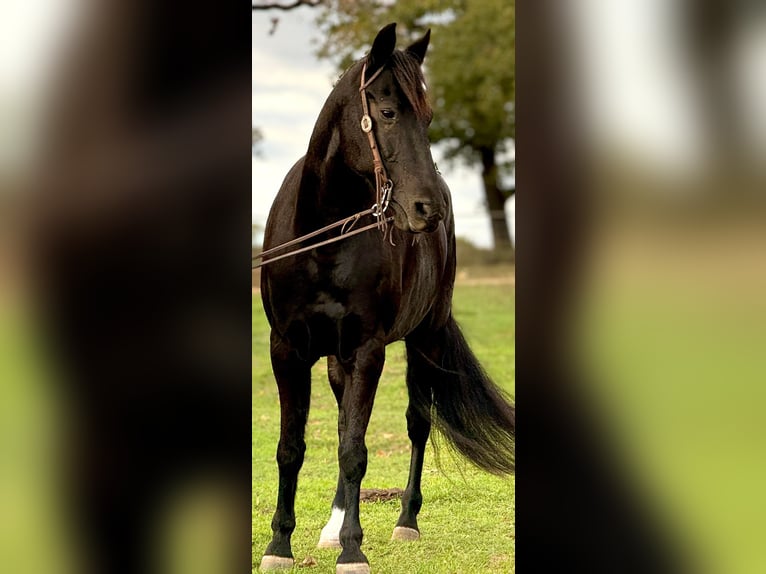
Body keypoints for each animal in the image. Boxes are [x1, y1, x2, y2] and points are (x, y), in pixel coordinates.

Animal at [260, 23, 520, 574]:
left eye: (429, 116)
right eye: (387, 112)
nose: (428, 208)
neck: (322, 239)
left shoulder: (368, 350)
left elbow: (355, 451)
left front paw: (354, 550)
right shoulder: (287, 349)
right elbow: (294, 447)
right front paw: (279, 547)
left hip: (425, 338)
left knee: (417, 424)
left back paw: (406, 521)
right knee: (342, 422)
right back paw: (332, 527)